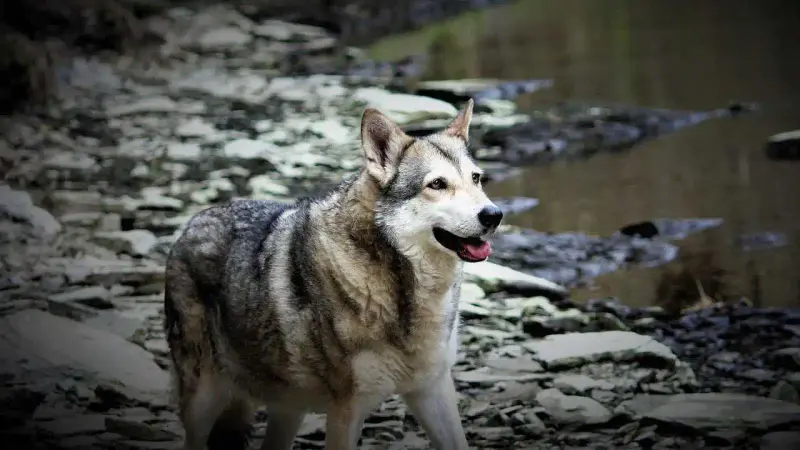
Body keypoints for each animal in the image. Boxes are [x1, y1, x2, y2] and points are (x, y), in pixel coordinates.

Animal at [163, 98, 504, 450]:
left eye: (476, 179)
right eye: (437, 184)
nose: (494, 215)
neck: (401, 289)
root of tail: (192, 223)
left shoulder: (431, 390)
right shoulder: (346, 409)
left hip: (288, 409)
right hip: (204, 400)